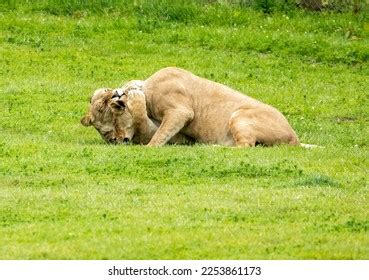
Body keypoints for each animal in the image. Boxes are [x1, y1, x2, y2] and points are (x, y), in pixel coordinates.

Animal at [101, 67, 300, 148]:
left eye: (116, 118)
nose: (116, 140)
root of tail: (294, 136)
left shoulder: (181, 111)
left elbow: (160, 134)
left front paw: (148, 147)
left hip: (239, 116)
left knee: (246, 146)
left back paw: (214, 147)